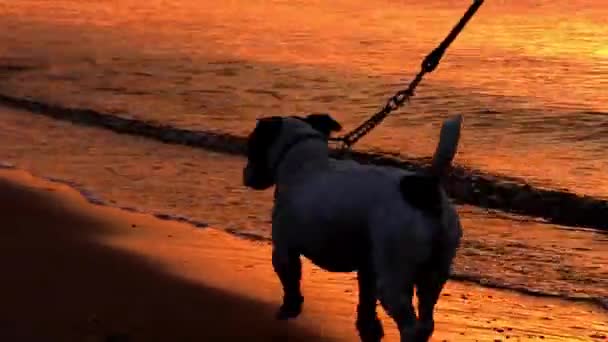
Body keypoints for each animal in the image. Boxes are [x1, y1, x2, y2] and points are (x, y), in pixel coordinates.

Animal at [242, 111, 460, 340]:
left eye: (252, 146)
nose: (245, 174)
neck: (305, 163)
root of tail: (426, 189)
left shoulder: (283, 250)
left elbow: (290, 283)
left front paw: (289, 308)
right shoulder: (367, 266)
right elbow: (366, 300)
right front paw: (369, 328)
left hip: (394, 276)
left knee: (410, 325)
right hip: (435, 271)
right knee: (426, 319)